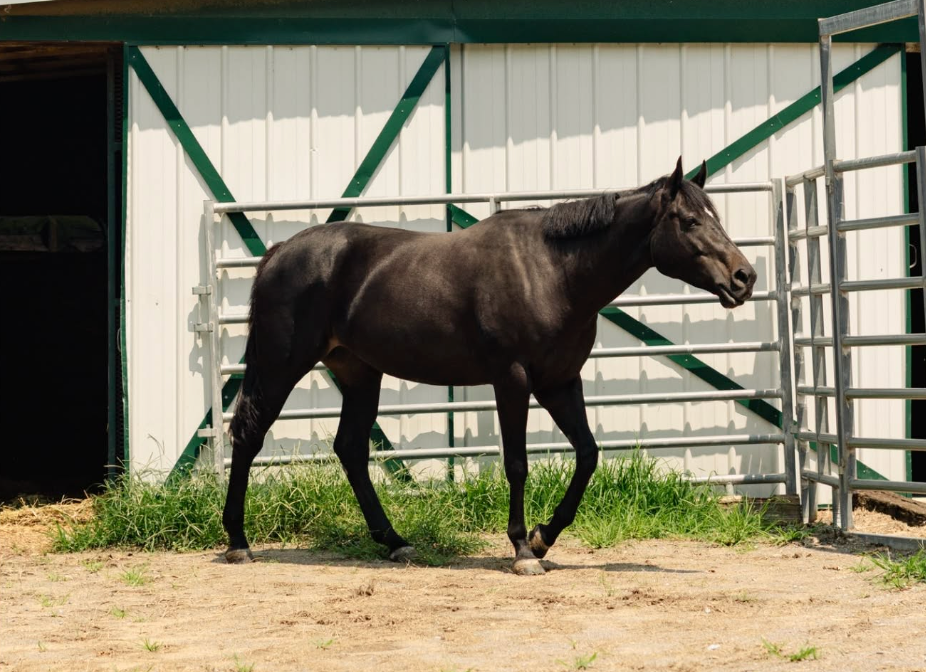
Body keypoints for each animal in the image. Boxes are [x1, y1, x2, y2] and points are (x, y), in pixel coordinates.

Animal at [222, 157, 757, 575]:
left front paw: (544, 537)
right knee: (250, 435)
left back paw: (395, 542)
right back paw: (238, 543)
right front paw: (522, 549)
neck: (552, 271)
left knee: (350, 449)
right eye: (689, 220)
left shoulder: (560, 382)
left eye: (714, 216)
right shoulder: (512, 380)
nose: (744, 277)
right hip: (282, 364)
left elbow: (587, 454)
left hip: (358, 373)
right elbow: (517, 463)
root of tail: (278, 253)